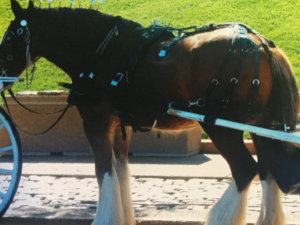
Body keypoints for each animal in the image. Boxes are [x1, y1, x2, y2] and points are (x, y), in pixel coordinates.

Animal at [1, 0, 300, 224]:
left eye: (8, 38)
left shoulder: (96, 122)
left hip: (220, 126)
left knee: (245, 170)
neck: (100, 49)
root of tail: (260, 43)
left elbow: (103, 171)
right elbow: (120, 170)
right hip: (260, 125)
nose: (2, 78)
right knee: (268, 170)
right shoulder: (118, 124)